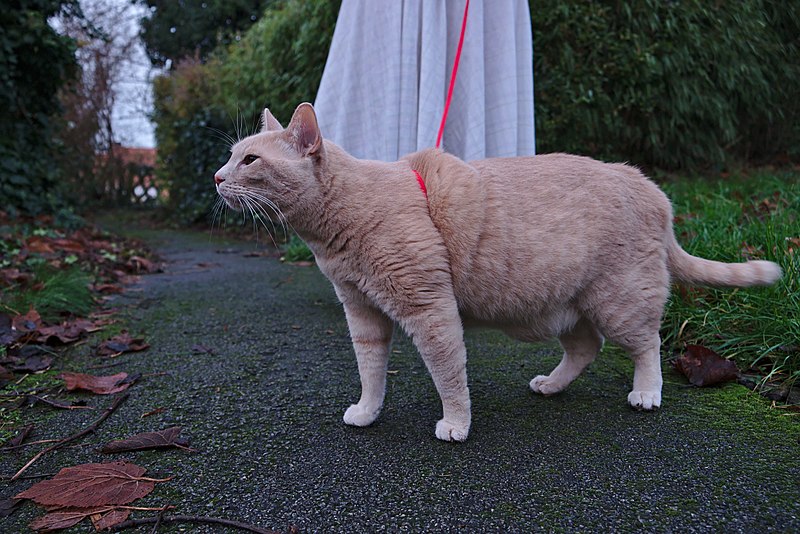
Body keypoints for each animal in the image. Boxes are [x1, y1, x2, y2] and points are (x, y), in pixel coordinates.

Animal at [214, 101, 780, 444]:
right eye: (233, 158)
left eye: (250, 160)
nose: (217, 178)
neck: (337, 228)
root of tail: (651, 187)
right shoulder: (363, 313)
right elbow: (370, 372)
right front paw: (368, 412)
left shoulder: (430, 310)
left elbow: (449, 375)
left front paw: (456, 424)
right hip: (567, 306)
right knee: (586, 348)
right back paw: (551, 386)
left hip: (619, 300)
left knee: (648, 345)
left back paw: (647, 393)